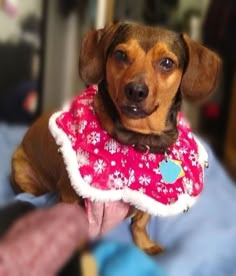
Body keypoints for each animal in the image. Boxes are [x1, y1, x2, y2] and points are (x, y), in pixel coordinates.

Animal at [11, 22, 221, 256]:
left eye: (167, 63)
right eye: (120, 55)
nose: (136, 91)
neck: (138, 139)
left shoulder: (151, 198)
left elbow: (140, 222)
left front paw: (145, 244)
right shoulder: (71, 197)